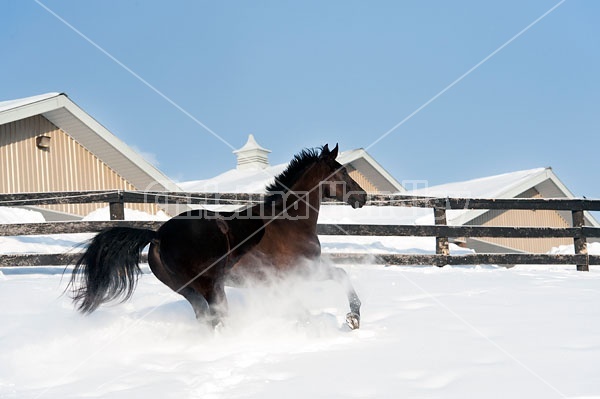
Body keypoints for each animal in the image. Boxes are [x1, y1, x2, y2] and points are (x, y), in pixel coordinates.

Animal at [71, 145, 370, 330]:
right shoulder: (302, 270)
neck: (288, 221)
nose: (363, 196)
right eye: (343, 171)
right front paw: (352, 318)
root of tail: (158, 236)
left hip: (190, 291)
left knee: (208, 319)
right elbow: (341, 276)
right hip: (211, 286)